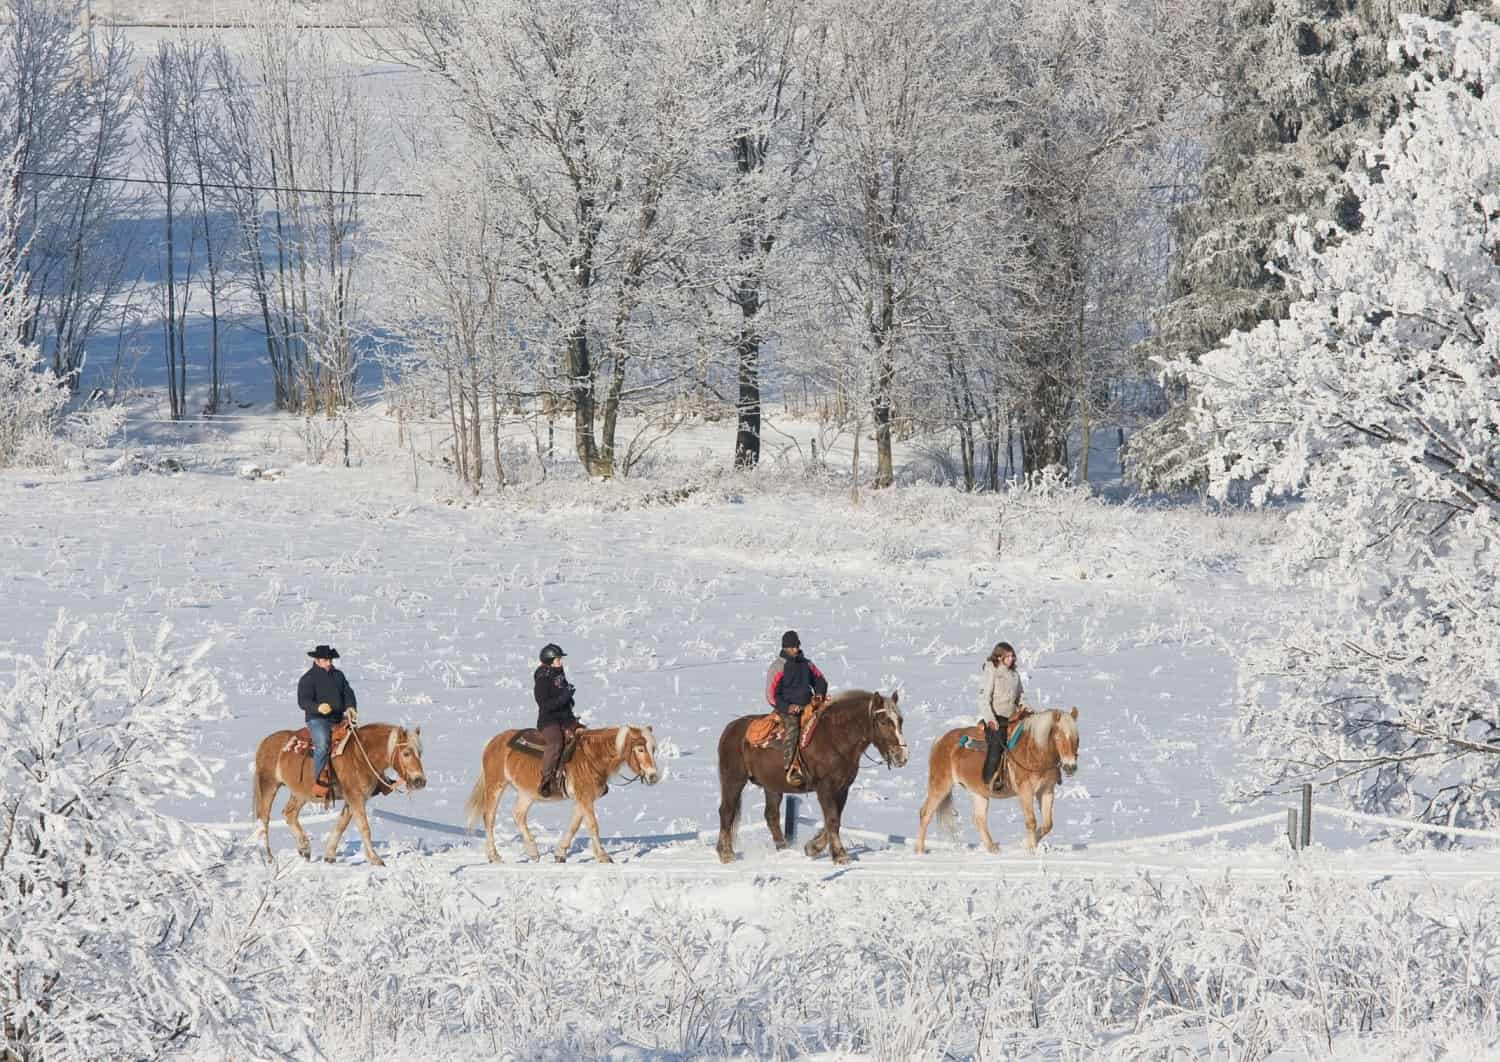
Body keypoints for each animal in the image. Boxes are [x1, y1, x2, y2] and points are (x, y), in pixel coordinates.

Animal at [252, 717, 429, 870]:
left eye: (420, 753)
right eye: (406, 753)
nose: (420, 781)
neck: (360, 756)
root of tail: (265, 742)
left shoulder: (355, 798)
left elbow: (342, 824)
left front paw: (329, 855)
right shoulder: (355, 797)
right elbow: (364, 827)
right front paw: (375, 859)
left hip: (300, 793)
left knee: (289, 813)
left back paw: (305, 849)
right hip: (268, 785)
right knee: (264, 819)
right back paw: (268, 857)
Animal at [465, 723, 660, 864]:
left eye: (653, 749)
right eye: (640, 749)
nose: (653, 776)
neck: (592, 756)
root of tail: (493, 742)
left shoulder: (583, 799)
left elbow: (574, 825)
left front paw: (560, 853)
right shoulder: (584, 797)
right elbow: (592, 826)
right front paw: (603, 857)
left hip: (527, 793)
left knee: (518, 814)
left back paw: (533, 852)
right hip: (495, 785)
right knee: (489, 818)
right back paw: (494, 856)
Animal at [717, 693, 906, 870]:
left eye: (900, 721)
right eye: (883, 721)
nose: (902, 757)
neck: (836, 738)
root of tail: (730, 729)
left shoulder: (842, 788)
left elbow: (835, 819)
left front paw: (813, 847)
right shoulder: (825, 788)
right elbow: (832, 819)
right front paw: (840, 856)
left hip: (771, 786)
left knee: (771, 815)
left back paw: (785, 850)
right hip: (733, 780)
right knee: (726, 811)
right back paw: (726, 854)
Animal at [912, 705, 1080, 852]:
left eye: (1077, 738)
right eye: (1058, 737)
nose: (1070, 767)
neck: (1034, 750)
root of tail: (940, 740)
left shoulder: (1046, 790)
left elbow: (1047, 824)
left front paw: (1025, 844)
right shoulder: (1025, 790)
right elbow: (1031, 821)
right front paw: (1031, 850)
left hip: (978, 792)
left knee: (979, 819)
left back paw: (992, 849)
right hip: (940, 785)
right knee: (925, 813)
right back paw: (920, 850)